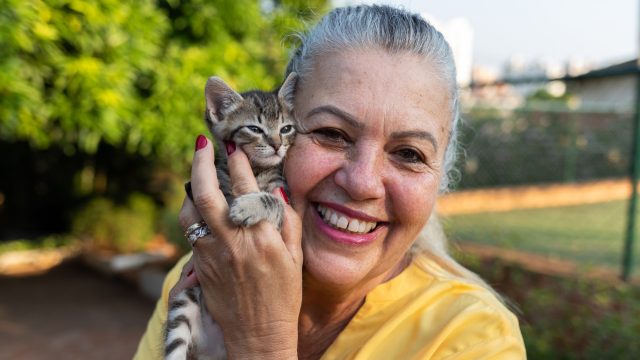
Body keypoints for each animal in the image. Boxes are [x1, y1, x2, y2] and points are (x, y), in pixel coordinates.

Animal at [162, 73, 298, 360]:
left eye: (286, 129)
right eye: (255, 128)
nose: (277, 145)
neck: (256, 171)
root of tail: (210, 348)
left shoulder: (286, 204)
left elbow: (274, 203)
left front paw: (245, 206)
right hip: (184, 300)